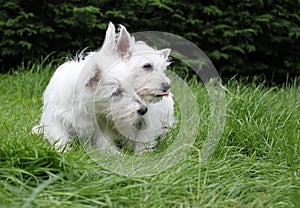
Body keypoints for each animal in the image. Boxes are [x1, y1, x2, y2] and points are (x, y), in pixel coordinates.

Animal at [32, 22, 173, 154]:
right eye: (147, 66)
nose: (167, 86)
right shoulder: (56, 117)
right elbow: (59, 136)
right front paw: (63, 151)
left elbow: (140, 139)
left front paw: (137, 155)